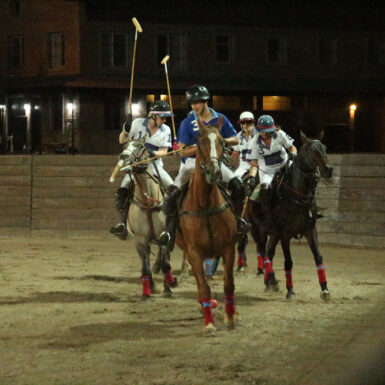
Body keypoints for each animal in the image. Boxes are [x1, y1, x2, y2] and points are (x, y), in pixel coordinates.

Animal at [118, 140, 178, 298]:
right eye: (125, 146)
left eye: (140, 146)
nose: (124, 156)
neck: (149, 202)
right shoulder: (140, 239)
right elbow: (145, 267)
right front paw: (148, 290)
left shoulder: (164, 236)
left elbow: (166, 264)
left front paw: (170, 286)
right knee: (146, 260)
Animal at [176, 117, 237, 332]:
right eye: (199, 141)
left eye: (221, 141)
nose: (214, 172)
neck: (206, 205)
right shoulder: (194, 252)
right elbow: (203, 286)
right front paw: (209, 323)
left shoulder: (229, 248)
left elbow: (228, 283)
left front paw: (230, 318)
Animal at [246, 130, 332, 298]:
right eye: (311, 150)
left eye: (325, 147)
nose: (328, 169)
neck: (297, 194)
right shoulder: (285, 233)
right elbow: (288, 261)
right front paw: (290, 290)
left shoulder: (310, 230)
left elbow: (318, 257)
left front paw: (324, 288)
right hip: (258, 229)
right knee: (263, 252)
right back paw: (271, 280)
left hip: (273, 234)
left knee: (269, 253)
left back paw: (269, 282)